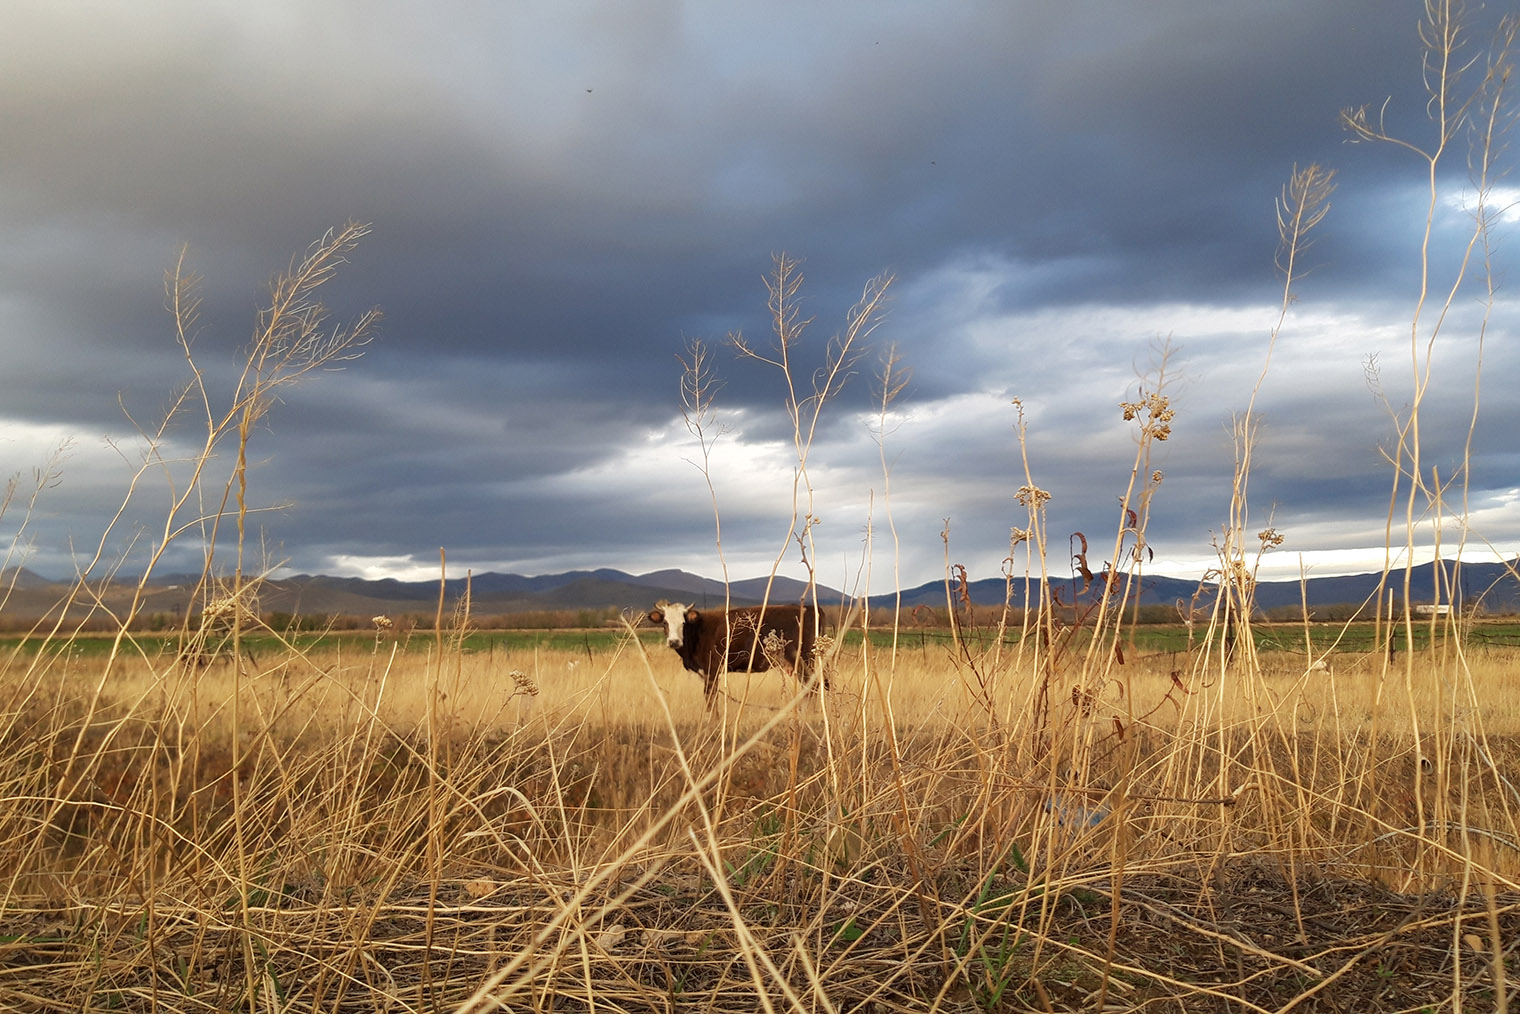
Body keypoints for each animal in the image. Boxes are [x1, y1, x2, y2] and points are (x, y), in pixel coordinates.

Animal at [647, 602, 826, 705]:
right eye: (665, 623)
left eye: (683, 623)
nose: (674, 642)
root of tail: (810, 607)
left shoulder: (712, 670)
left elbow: (710, 698)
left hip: (804, 660)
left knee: (813, 686)